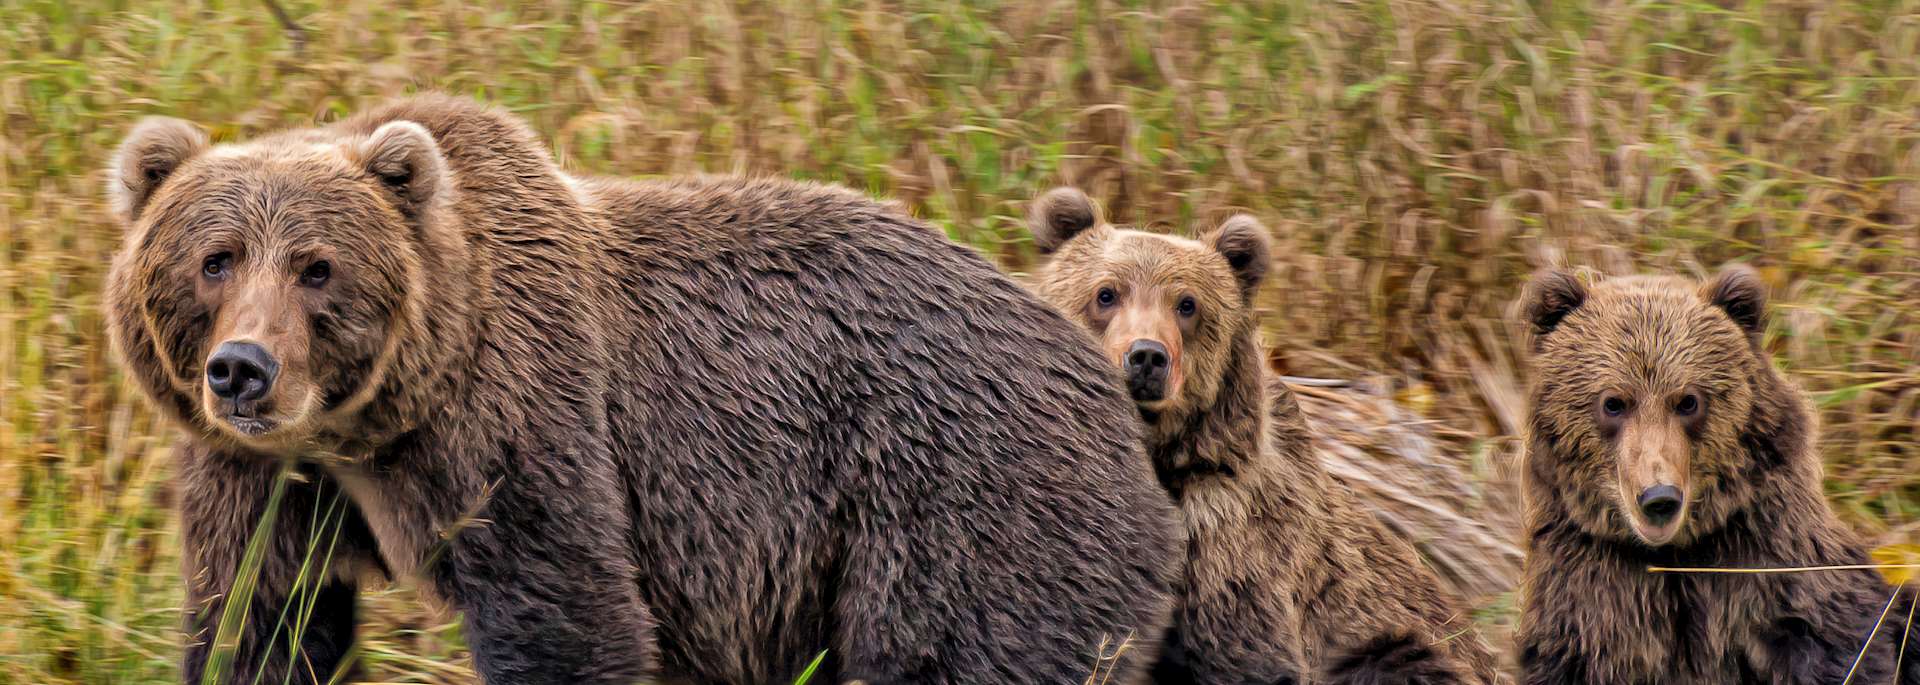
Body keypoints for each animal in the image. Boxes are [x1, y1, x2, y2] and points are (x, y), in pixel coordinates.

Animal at [104, 96, 1181, 684]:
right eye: (214, 258)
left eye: (317, 267)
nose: (244, 367)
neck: (372, 425)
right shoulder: (264, 477)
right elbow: (264, 618)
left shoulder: (521, 423)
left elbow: (566, 610)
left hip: (969, 501)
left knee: (964, 647)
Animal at [1024, 187, 1506, 685]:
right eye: (1106, 293)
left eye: (1187, 304)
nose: (1147, 357)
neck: (1162, 453)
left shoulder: (1230, 540)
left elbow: (1243, 653)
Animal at [1514, 266, 1919, 684]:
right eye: (1613, 402)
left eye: (1688, 401)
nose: (1659, 498)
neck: (1675, 554)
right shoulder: (1590, 588)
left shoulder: (1771, 561)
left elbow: (1833, 642)